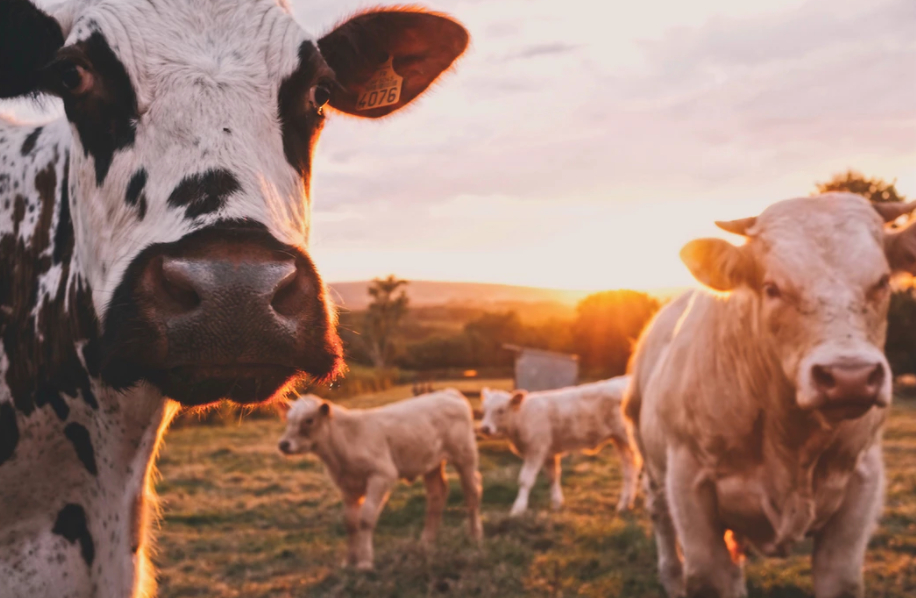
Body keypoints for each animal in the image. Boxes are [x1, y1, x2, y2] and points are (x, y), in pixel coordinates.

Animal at [278, 392, 484, 568]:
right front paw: (349, 561)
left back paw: (475, 536)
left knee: (472, 492)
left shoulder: (382, 475)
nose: (283, 444)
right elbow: (350, 522)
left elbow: (366, 518)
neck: (345, 441)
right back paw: (427, 541)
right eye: (288, 419)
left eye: (309, 420)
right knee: (437, 494)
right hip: (431, 463)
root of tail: (449, 393)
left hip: (465, 455)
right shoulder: (347, 485)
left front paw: (365, 562)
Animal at [480, 380, 636, 520]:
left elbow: (525, 480)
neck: (522, 417)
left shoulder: (536, 450)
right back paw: (625, 504)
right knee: (629, 468)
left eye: (501, 410)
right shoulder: (549, 453)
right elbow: (553, 476)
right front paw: (556, 503)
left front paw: (518, 508)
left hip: (628, 437)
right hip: (619, 440)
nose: (484, 428)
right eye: (484, 410)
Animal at [628, 193, 916, 598]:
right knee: (660, 516)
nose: (851, 377)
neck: (792, 440)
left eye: (882, 281)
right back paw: (670, 576)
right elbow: (707, 577)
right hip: (650, 460)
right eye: (772, 288)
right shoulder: (688, 484)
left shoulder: (862, 482)